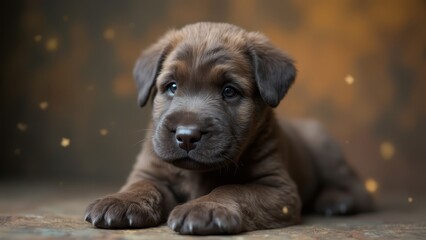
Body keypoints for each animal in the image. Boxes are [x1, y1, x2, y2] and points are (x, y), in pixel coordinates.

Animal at [84, 22, 372, 234]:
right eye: (172, 86)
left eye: (229, 91)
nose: (186, 136)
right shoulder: (150, 170)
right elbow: (142, 186)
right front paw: (121, 202)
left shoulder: (277, 187)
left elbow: (233, 189)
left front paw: (207, 207)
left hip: (325, 150)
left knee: (355, 185)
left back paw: (338, 201)